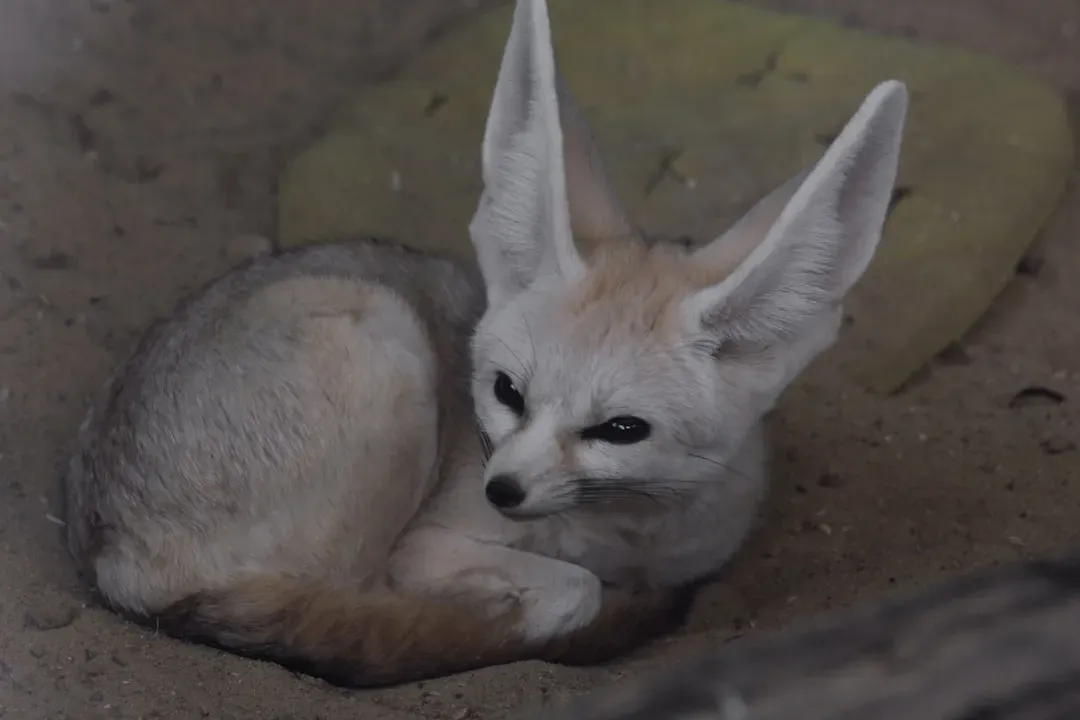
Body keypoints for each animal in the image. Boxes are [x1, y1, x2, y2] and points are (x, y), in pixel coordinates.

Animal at [61, 0, 908, 689]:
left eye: (620, 429)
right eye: (506, 392)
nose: (503, 489)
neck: (627, 535)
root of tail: (110, 551)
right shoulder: (424, 547)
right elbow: (569, 591)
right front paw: (523, 614)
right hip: (384, 343)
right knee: (339, 613)